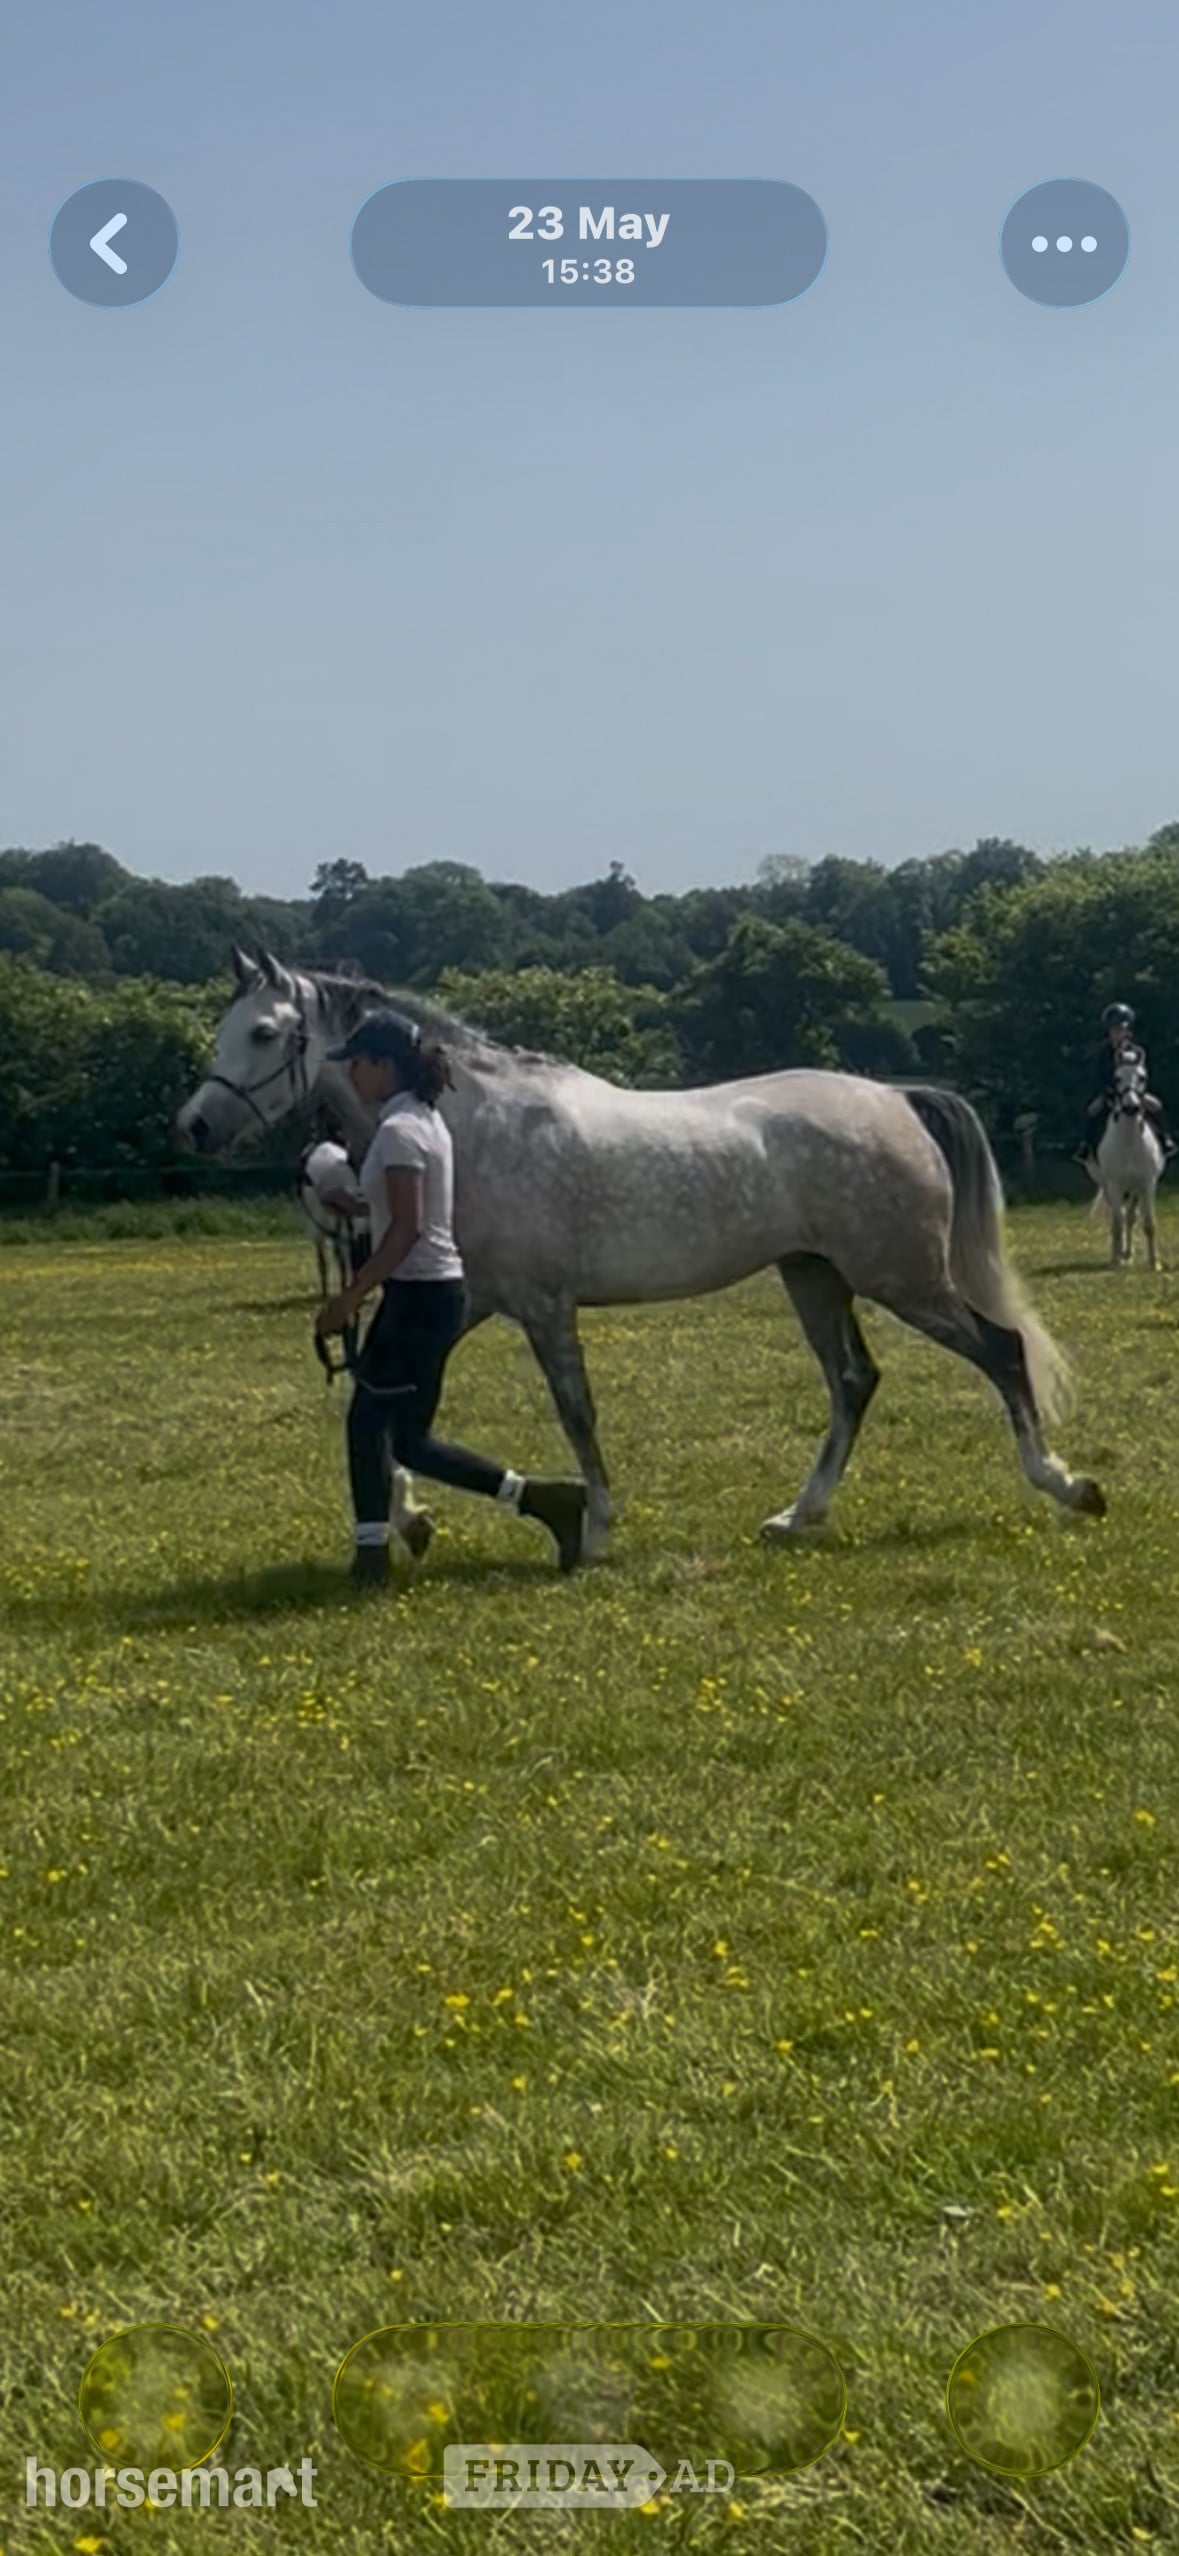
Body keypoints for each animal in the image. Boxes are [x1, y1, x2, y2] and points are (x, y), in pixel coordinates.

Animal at [174, 945, 1107, 1556]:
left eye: (264, 1032)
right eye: (225, 1028)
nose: (194, 1127)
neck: (469, 1126)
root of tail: (895, 1098)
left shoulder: (541, 1307)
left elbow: (574, 1412)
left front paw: (592, 1526)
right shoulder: (469, 1299)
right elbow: (392, 1409)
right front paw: (409, 1517)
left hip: (901, 1277)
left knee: (999, 1349)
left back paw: (1065, 1484)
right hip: (814, 1277)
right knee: (853, 1382)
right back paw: (794, 1517)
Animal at [1090, 1056, 1165, 1270]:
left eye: (1142, 1077)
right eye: (1117, 1078)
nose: (1131, 1107)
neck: (1130, 1142)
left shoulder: (1146, 1184)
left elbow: (1149, 1223)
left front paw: (1154, 1262)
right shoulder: (1114, 1185)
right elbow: (1116, 1224)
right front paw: (1115, 1260)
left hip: (1133, 1190)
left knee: (1130, 1217)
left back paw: (1128, 1254)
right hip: (1111, 1187)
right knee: (1122, 1217)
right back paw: (1121, 1255)